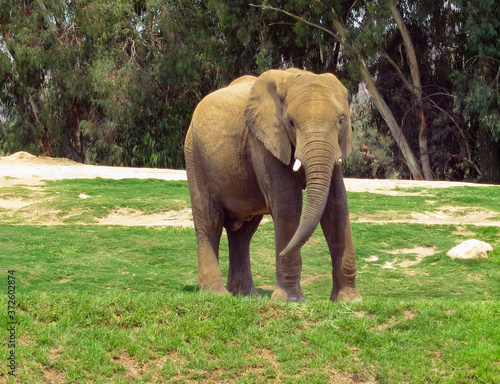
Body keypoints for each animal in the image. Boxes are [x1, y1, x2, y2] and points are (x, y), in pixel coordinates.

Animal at [184, 69, 360, 304]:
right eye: (291, 122)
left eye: (341, 121)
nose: (283, 252)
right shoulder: (263, 142)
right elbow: (288, 203)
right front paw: (292, 300)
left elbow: (337, 206)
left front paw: (349, 300)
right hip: (194, 155)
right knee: (210, 222)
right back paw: (217, 294)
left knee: (243, 233)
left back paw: (246, 295)